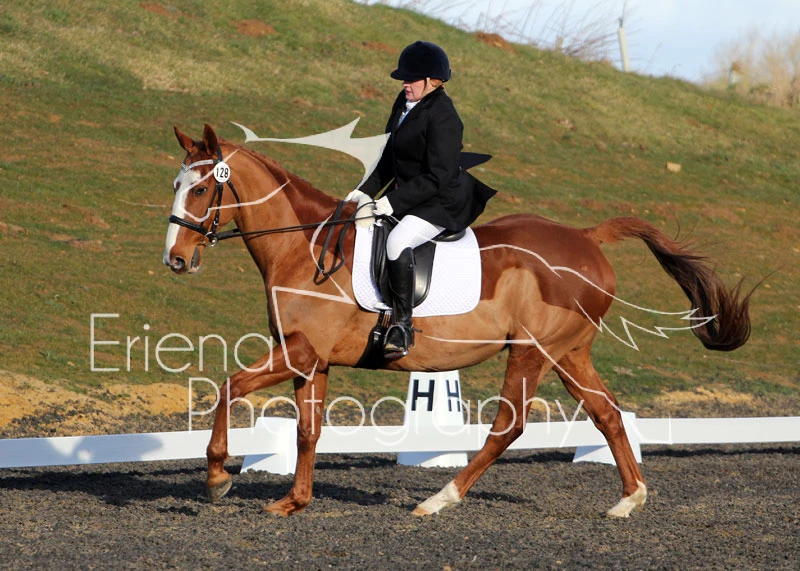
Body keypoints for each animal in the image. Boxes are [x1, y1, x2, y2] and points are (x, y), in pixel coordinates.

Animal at [164, 124, 752, 518]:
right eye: (176, 185)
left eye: (201, 189)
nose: (175, 260)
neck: (303, 248)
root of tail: (587, 238)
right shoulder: (311, 358)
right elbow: (308, 430)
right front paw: (294, 501)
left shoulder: (300, 353)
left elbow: (227, 387)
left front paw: (217, 477)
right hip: (569, 352)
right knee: (606, 413)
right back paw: (629, 500)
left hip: (533, 351)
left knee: (509, 426)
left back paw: (438, 499)